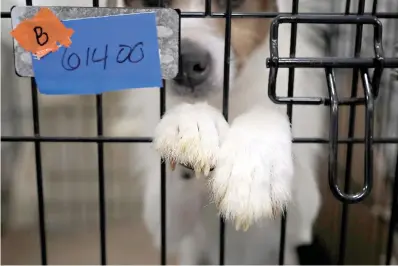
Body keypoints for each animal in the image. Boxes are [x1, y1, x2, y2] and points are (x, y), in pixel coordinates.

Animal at [112, 0, 330, 264]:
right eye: (153, 4)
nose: (186, 63)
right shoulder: (163, 227)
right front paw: (193, 121)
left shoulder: (299, 226)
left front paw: (254, 161)